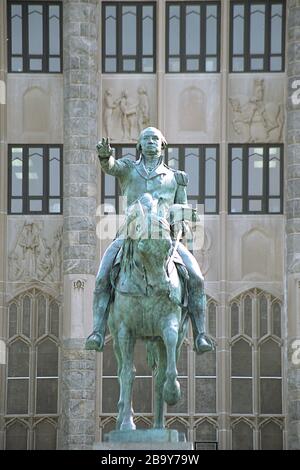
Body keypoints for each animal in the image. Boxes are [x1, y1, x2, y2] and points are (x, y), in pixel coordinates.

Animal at [107, 194, 188, 430]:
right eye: (142, 246)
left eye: (168, 246)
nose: (163, 287)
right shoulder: (125, 332)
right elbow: (128, 374)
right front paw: (127, 423)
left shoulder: (169, 324)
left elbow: (166, 366)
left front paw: (173, 390)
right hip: (114, 337)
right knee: (121, 371)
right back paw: (121, 416)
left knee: (161, 372)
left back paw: (159, 426)